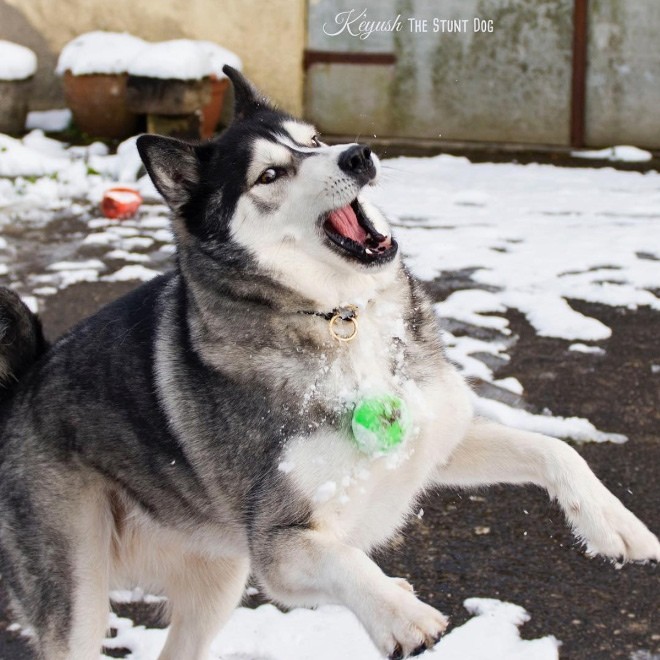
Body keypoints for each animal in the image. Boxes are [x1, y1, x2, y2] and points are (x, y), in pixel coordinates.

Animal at [0, 68, 656, 660]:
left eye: (312, 139)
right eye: (271, 173)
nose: (358, 155)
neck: (342, 317)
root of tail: (23, 381)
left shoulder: (431, 439)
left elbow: (555, 449)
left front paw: (613, 523)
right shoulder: (279, 547)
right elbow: (341, 558)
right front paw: (398, 614)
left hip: (218, 581)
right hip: (82, 594)